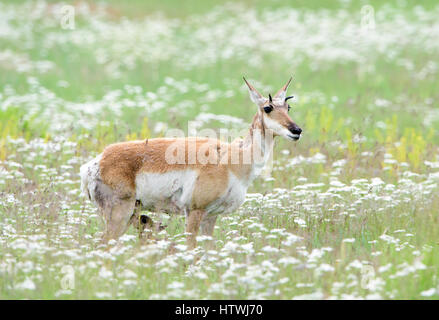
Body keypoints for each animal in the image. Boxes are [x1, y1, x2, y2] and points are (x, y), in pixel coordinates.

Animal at [80, 77, 302, 248]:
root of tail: (96, 162)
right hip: (120, 214)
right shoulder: (195, 211)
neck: (231, 159)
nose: (296, 130)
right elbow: (191, 248)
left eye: (288, 107)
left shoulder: (211, 216)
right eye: (267, 107)